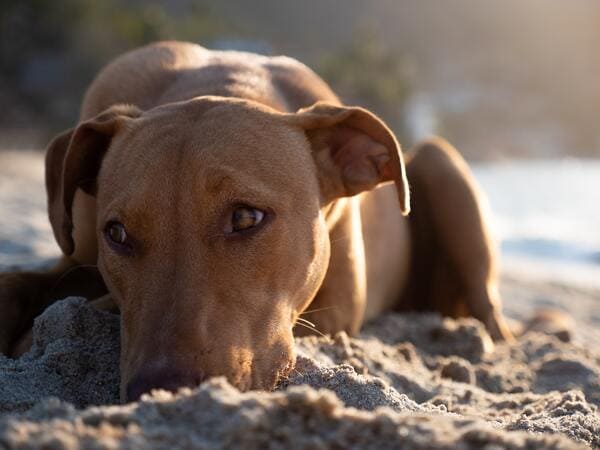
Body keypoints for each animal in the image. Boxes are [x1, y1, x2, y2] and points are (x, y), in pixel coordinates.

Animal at [1, 41, 510, 400]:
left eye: (246, 217)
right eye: (117, 234)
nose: (161, 389)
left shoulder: (336, 311)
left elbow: (94, 304)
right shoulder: (75, 256)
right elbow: (23, 282)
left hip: (441, 164)